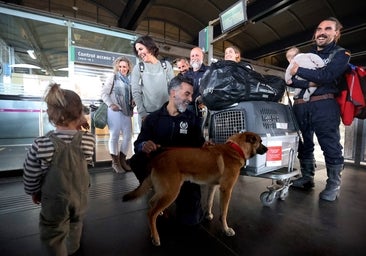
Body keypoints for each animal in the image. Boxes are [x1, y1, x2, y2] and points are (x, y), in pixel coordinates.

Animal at [122, 132, 266, 246]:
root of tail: (157, 158)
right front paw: (226, 229)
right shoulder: (226, 190)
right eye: (260, 142)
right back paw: (156, 237)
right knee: (151, 214)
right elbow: (224, 213)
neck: (236, 148)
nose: (267, 149)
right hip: (171, 192)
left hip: (165, 190)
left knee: (152, 202)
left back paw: (160, 215)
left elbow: (209, 202)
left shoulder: (212, 186)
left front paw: (208, 215)